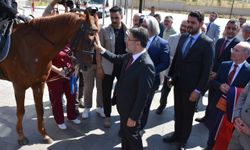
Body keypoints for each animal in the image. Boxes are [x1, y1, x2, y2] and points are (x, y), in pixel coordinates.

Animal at [0, 12, 98, 145]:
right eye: (90, 39)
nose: (87, 66)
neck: (31, 47)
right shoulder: (19, 86)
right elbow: (20, 112)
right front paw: (21, 137)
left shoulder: (39, 84)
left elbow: (40, 110)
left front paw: (44, 135)